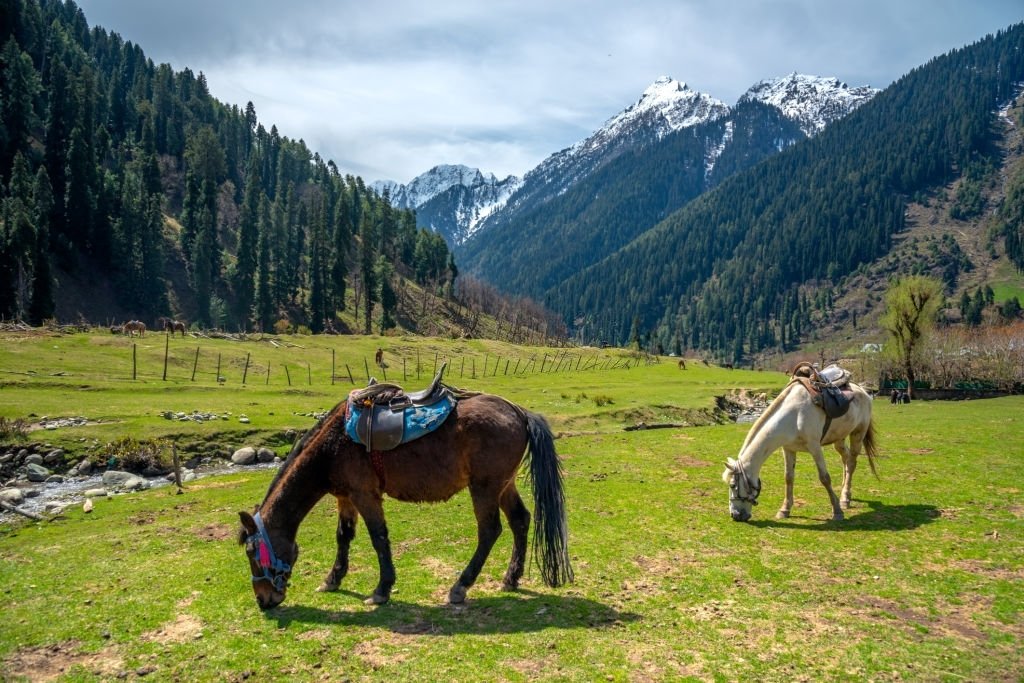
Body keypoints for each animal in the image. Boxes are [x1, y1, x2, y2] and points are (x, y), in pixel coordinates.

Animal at [240, 389, 577, 610]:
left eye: (252, 552)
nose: (263, 600)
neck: (333, 445)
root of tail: (519, 412)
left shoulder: (365, 495)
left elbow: (378, 538)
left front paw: (381, 589)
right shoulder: (345, 497)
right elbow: (343, 536)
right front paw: (332, 579)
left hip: (484, 487)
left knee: (490, 530)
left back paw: (460, 587)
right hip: (504, 485)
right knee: (520, 520)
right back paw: (511, 578)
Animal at [720, 368, 880, 524]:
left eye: (732, 485)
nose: (735, 515)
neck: (794, 415)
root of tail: (863, 390)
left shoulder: (815, 448)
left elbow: (825, 478)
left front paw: (837, 512)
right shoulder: (788, 449)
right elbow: (788, 477)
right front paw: (784, 509)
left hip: (858, 433)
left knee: (851, 462)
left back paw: (845, 498)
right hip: (839, 439)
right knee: (845, 459)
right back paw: (844, 492)